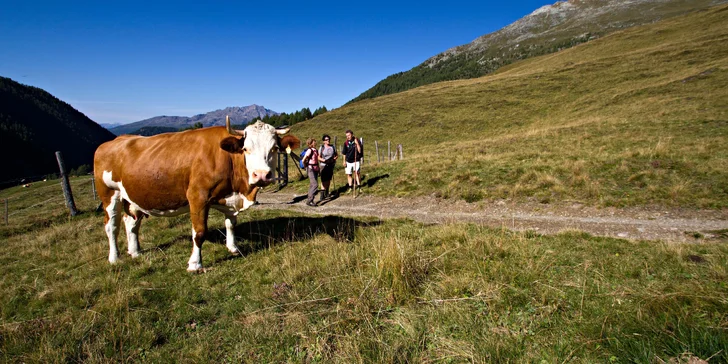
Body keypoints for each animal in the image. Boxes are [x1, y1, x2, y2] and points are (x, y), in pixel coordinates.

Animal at [93, 116, 298, 270]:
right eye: (246, 149)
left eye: (274, 148)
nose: (262, 175)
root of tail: (114, 141)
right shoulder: (197, 197)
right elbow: (199, 232)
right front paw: (195, 264)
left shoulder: (230, 199)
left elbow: (231, 224)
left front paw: (233, 248)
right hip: (109, 194)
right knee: (111, 226)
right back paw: (115, 258)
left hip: (133, 197)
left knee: (131, 223)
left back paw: (135, 252)